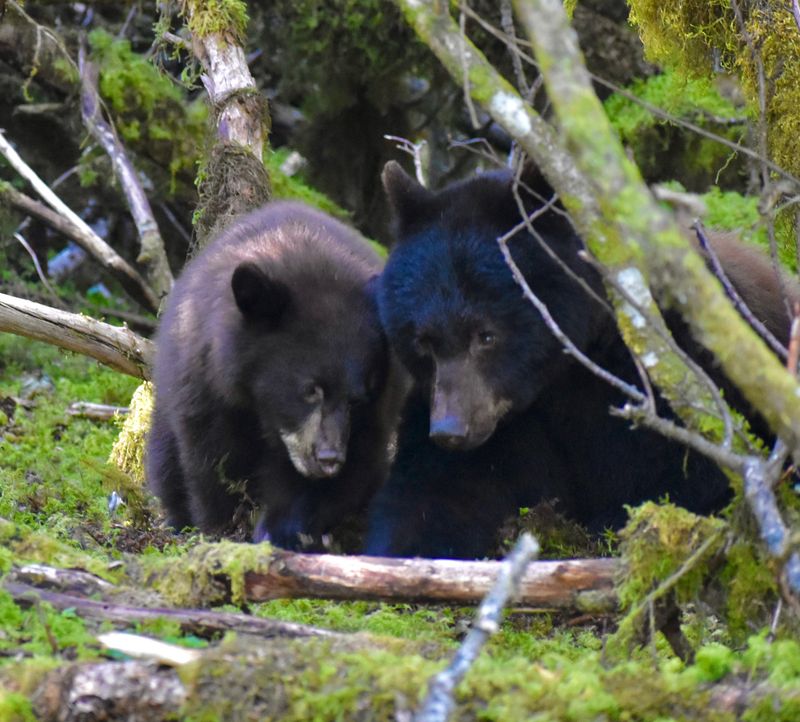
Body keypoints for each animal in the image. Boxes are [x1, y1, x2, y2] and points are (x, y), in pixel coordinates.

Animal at [147, 200, 401, 550]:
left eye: (356, 400)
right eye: (310, 389)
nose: (329, 458)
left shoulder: (376, 411)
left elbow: (356, 471)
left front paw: (284, 530)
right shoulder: (205, 385)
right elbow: (209, 459)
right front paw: (220, 526)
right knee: (165, 462)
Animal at [364, 161, 794, 560]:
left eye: (485, 334)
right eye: (424, 341)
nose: (450, 430)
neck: (563, 373)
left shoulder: (684, 368)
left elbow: (688, 475)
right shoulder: (497, 422)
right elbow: (436, 490)